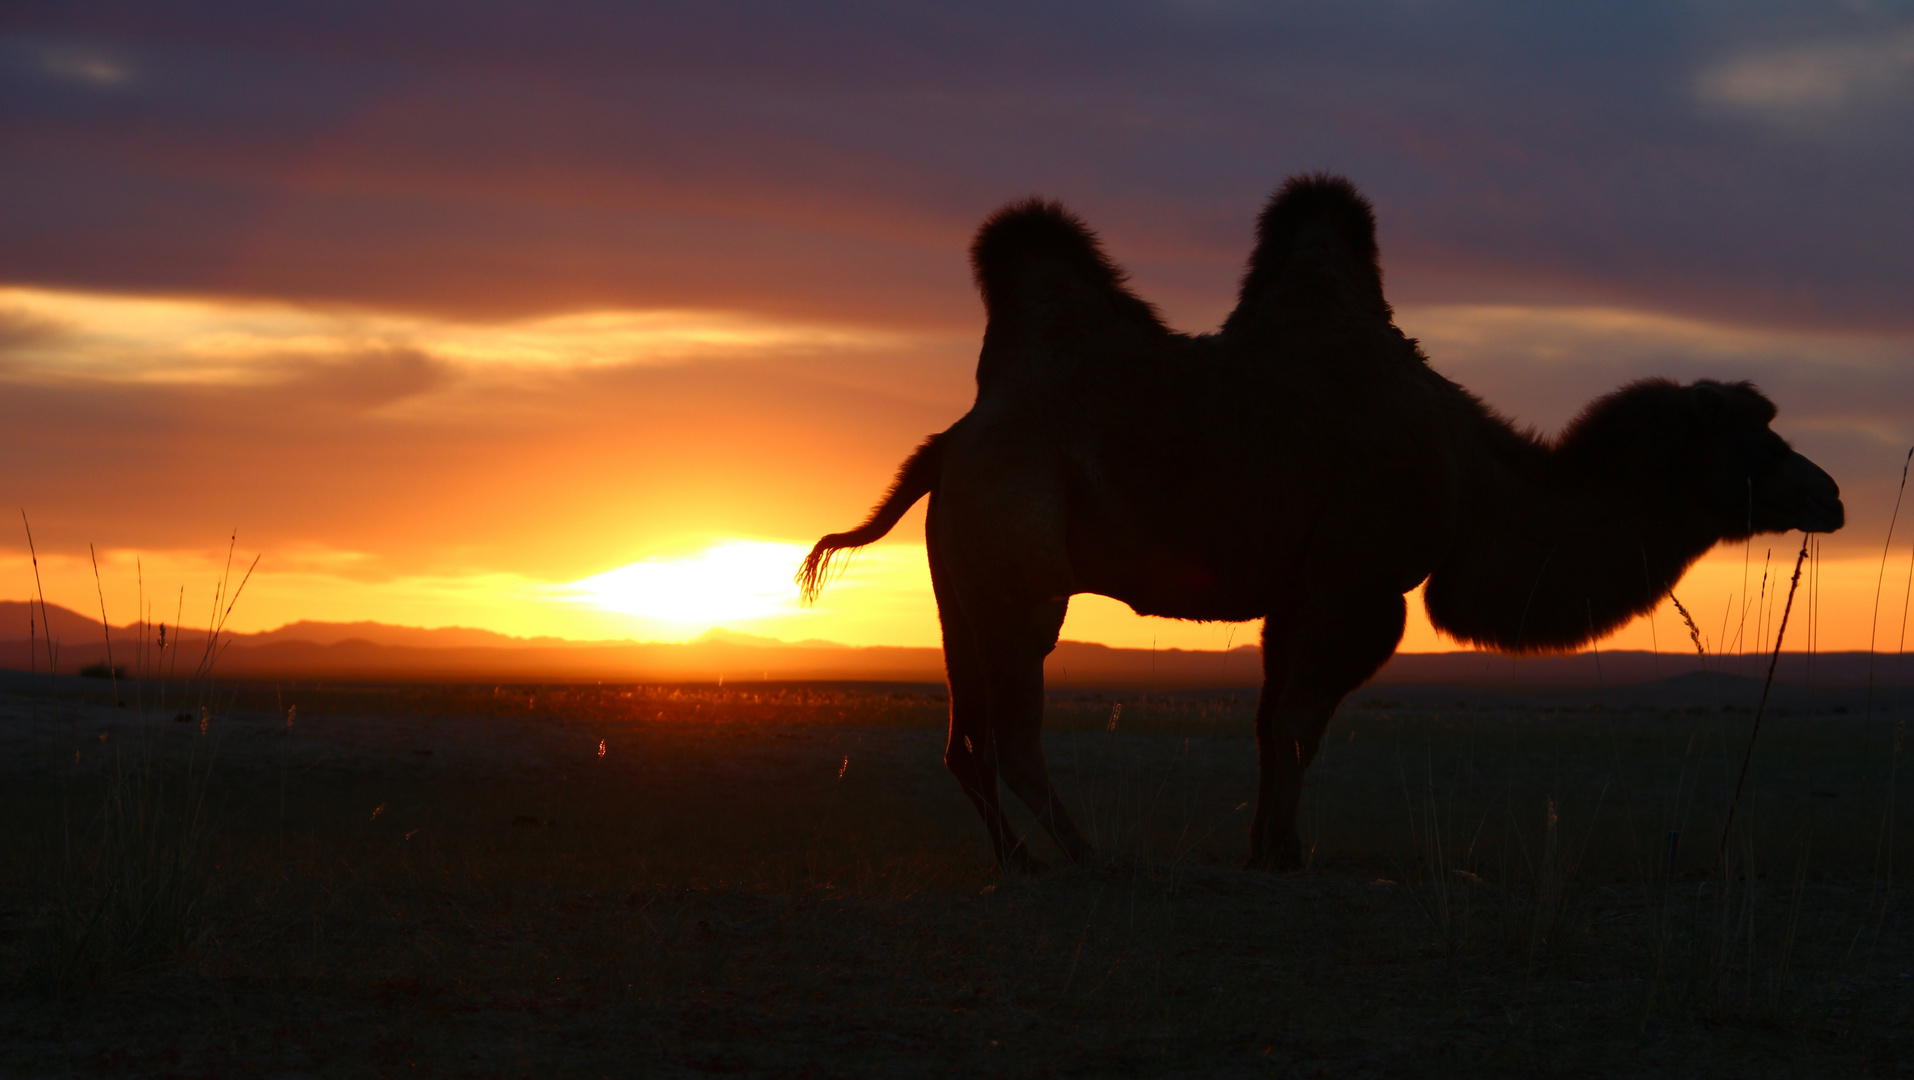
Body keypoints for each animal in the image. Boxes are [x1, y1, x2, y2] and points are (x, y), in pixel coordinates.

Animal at [792, 175, 1837, 869]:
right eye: (1758, 438)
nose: (1828, 494)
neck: (1470, 474)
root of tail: (948, 443)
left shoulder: (1297, 596)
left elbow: (1271, 725)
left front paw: (1267, 841)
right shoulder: (1360, 588)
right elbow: (1300, 725)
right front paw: (1288, 851)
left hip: (956, 584)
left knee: (962, 734)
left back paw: (1018, 858)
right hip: (1018, 565)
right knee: (1010, 729)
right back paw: (1086, 853)